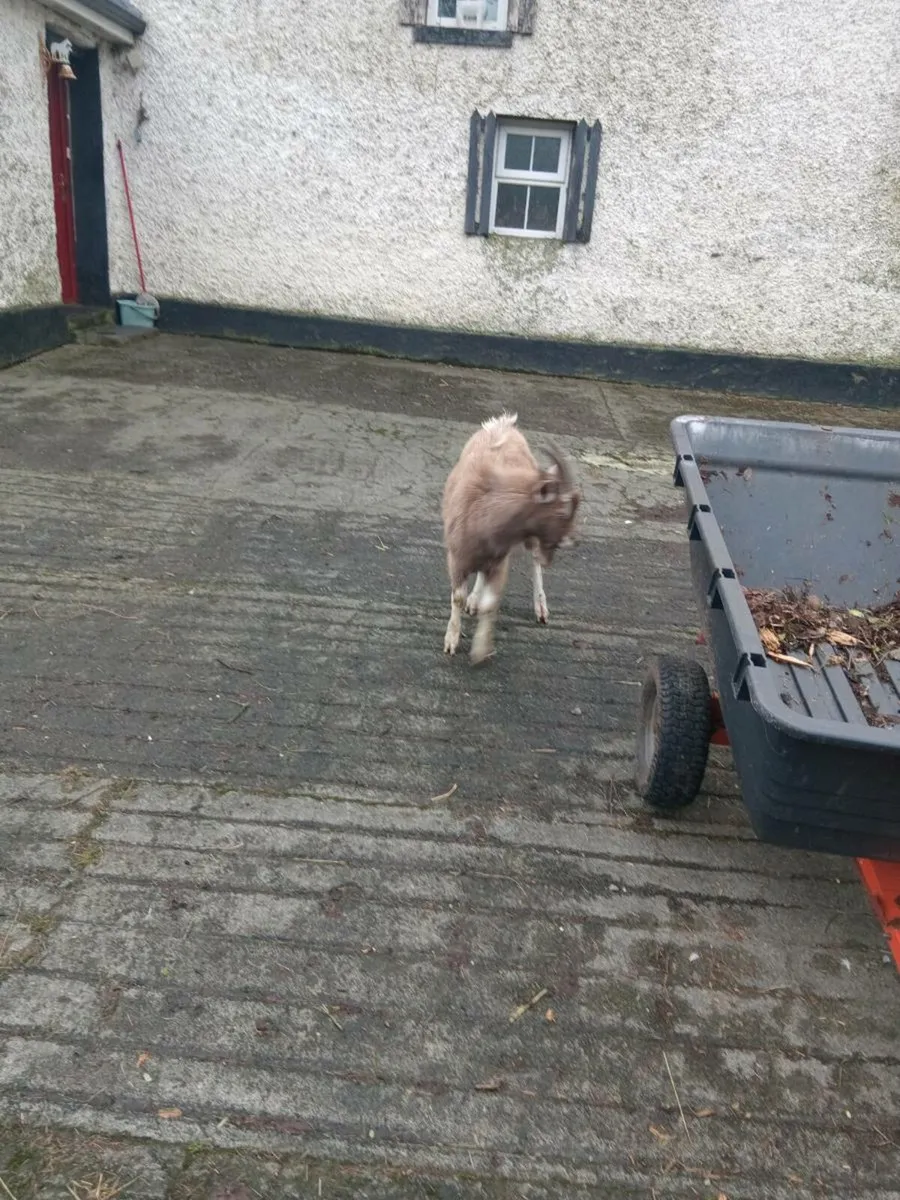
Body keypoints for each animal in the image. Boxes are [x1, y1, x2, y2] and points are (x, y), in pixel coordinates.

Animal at [441, 411, 580, 663]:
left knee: (534, 562)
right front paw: (451, 642)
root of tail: (504, 424)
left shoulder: (500, 562)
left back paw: (541, 609)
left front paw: (480, 651)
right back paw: (473, 601)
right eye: (561, 511)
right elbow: (458, 597)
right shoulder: (456, 558)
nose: (573, 540)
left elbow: (490, 603)